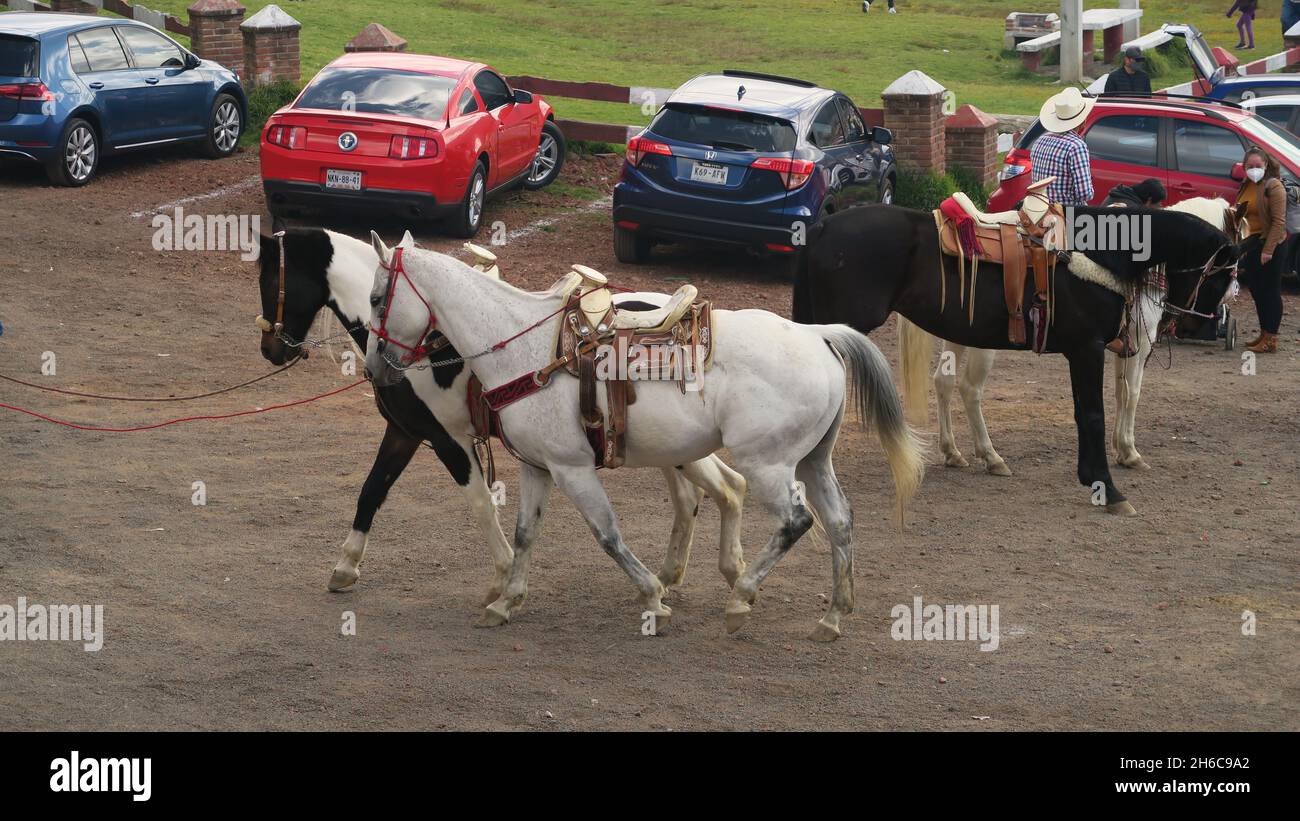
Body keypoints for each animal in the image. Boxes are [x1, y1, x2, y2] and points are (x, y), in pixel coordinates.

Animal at [256, 227, 754, 618]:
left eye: (270, 279)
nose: (270, 349)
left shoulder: (448, 439)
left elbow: (479, 503)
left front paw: (501, 579)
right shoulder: (404, 433)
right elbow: (371, 491)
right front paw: (345, 567)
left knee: (720, 489)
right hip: (671, 447)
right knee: (705, 493)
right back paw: (675, 576)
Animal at [361, 233, 920, 639]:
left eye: (376, 297)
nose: (373, 369)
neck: (525, 349)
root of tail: (816, 335)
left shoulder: (572, 468)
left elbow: (607, 534)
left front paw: (653, 595)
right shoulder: (538, 466)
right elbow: (524, 534)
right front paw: (505, 603)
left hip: (768, 464)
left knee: (797, 521)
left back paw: (741, 598)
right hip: (812, 460)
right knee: (840, 521)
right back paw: (833, 615)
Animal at [790, 203, 1237, 514]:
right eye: (1222, 272)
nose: (1194, 321)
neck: (1102, 253)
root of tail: (824, 226)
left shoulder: (1087, 352)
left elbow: (1087, 412)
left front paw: (1093, 476)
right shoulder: (1088, 349)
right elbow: (1095, 414)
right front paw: (1108, 489)